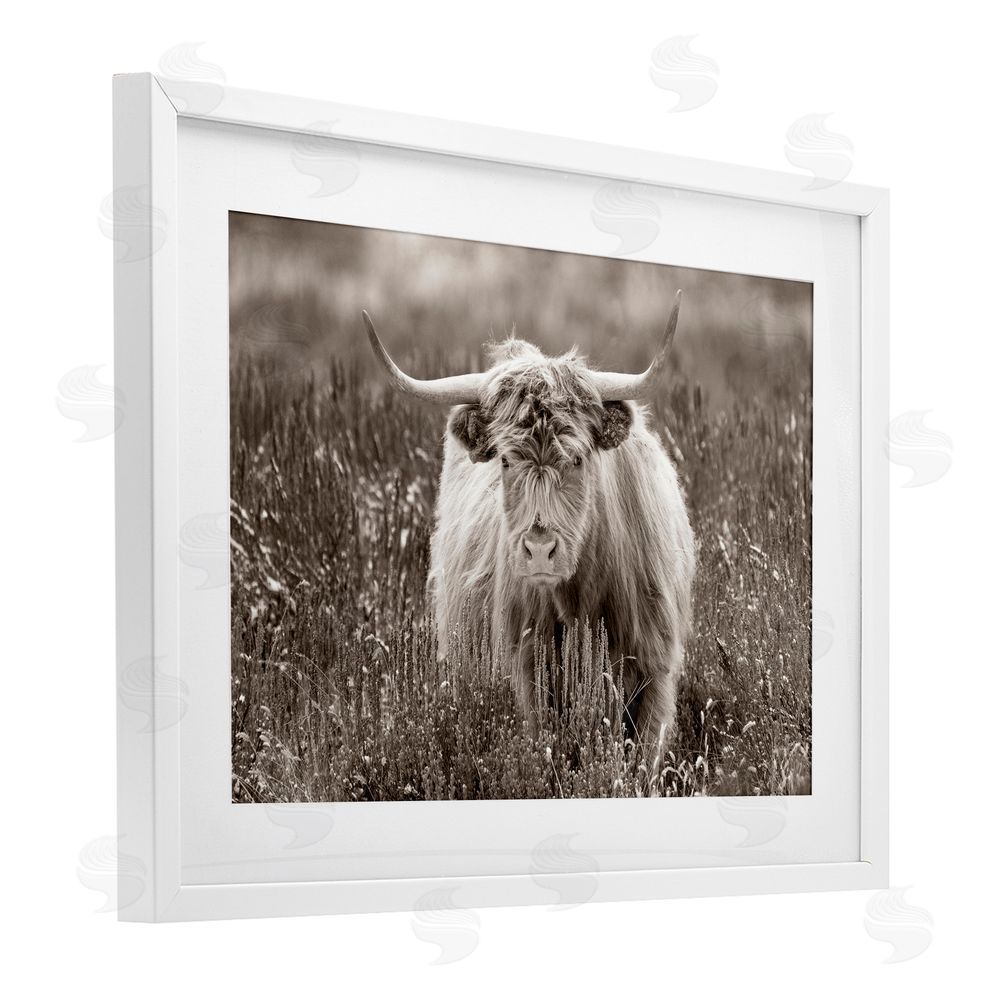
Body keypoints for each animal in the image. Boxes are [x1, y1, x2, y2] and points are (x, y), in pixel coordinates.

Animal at [362, 291, 695, 747]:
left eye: (577, 458)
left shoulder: (654, 671)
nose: (539, 551)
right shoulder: (528, 673)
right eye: (505, 460)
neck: (581, 604)